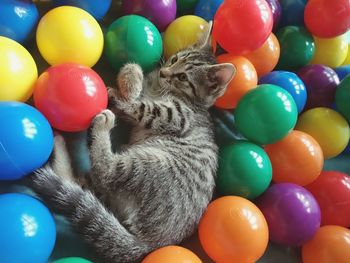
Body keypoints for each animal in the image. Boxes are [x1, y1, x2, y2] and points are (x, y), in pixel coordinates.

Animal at [30, 23, 237, 263]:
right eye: (175, 59)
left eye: (183, 77)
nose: (164, 72)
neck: (160, 89)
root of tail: (152, 245)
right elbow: (135, 68)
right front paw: (131, 80)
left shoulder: (179, 116)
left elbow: (143, 107)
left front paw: (124, 95)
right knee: (79, 183)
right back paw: (60, 144)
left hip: (147, 164)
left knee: (107, 171)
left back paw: (102, 126)